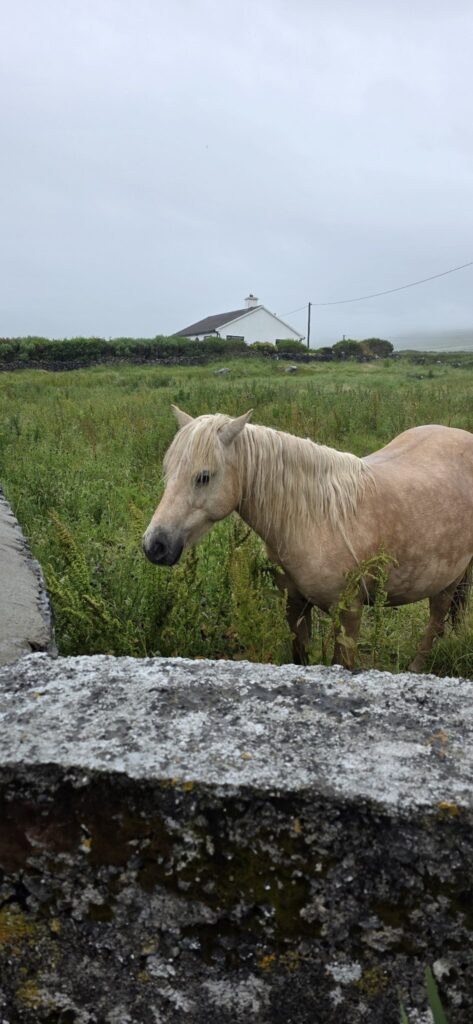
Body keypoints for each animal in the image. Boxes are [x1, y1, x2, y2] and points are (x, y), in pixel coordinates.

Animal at [142, 406, 473, 672]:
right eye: (167, 471)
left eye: (203, 476)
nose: (154, 546)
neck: (314, 520)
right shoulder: (295, 606)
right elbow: (300, 656)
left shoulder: (349, 614)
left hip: (446, 580)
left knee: (437, 621)